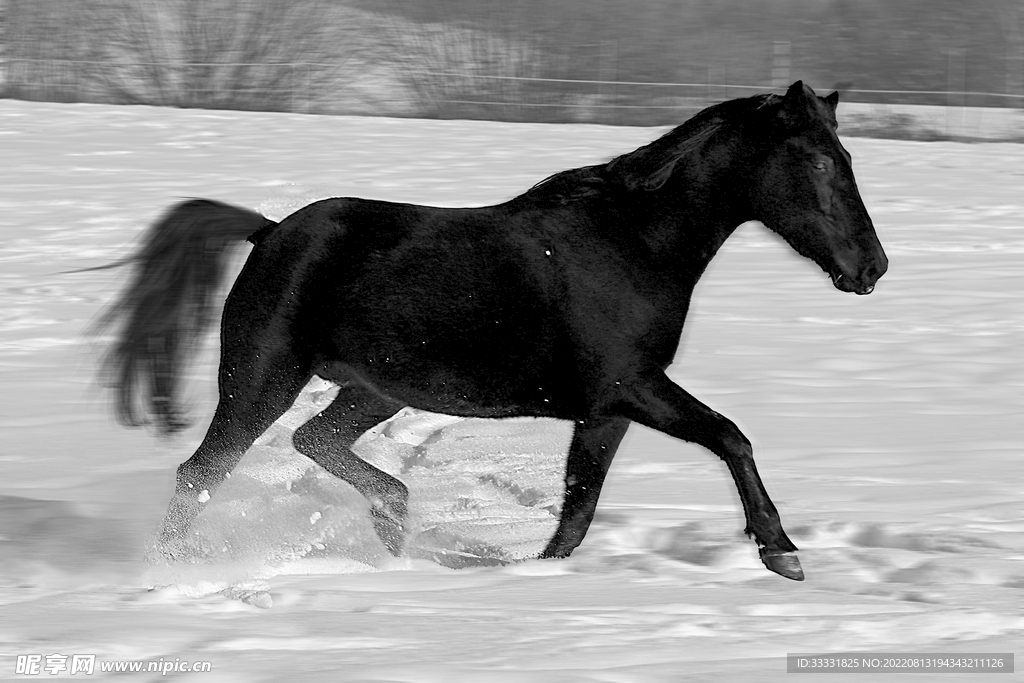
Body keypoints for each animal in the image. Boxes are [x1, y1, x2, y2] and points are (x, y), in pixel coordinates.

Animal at [96, 81, 887, 581]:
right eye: (820, 159)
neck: (633, 243)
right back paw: (172, 573)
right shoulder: (631, 386)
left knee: (315, 440)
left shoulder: (606, 412)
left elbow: (576, 515)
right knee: (202, 473)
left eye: (847, 157)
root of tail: (269, 232)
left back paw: (393, 522)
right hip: (262, 379)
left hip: (374, 389)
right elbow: (731, 435)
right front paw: (781, 551)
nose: (871, 266)